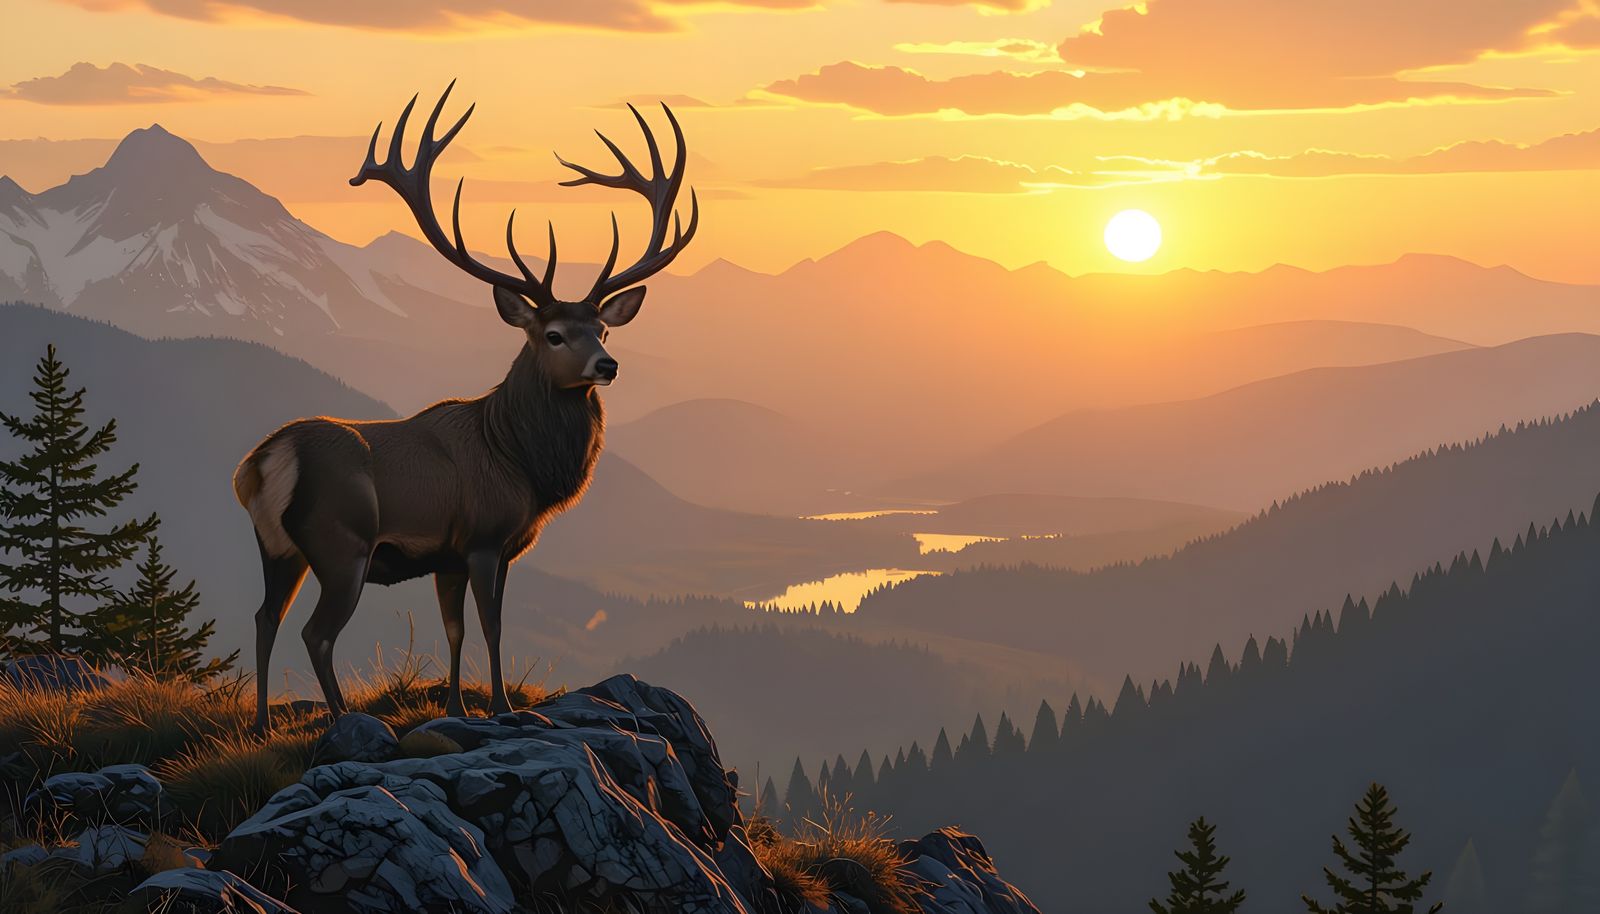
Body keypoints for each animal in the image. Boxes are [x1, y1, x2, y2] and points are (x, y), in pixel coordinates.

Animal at [232, 83, 697, 732]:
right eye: (554, 334)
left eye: (603, 328)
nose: (607, 366)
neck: (521, 462)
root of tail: (263, 461)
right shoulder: (484, 537)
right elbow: (491, 625)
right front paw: (503, 706)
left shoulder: (447, 556)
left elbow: (452, 630)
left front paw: (454, 706)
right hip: (341, 542)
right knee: (315, 633)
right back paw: (345, 717)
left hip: (277, 547)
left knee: (263, 616)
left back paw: (261, 722)